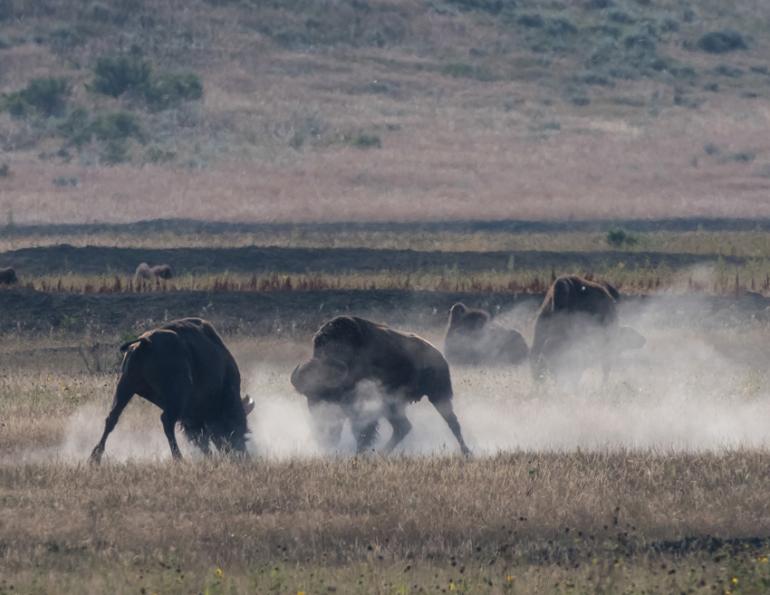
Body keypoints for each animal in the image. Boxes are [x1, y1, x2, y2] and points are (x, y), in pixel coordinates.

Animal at [90, 317, 252, 463]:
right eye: (236, 426)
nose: (242, 455)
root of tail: (145, 342)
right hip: (174, 397)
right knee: (166, 421)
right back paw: (179, 458)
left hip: (125, 386)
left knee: (112, 418)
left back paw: (95, 457)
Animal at [291, 316, 471, 456]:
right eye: (308, 396)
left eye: (329, 394)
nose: (319, 414)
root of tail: (439, 355)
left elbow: (363, 431)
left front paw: (359, 454)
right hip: (395, 405)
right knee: (403, 427)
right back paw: (382, 454)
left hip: (438, 396)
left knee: (452, 423)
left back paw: (467, 452)